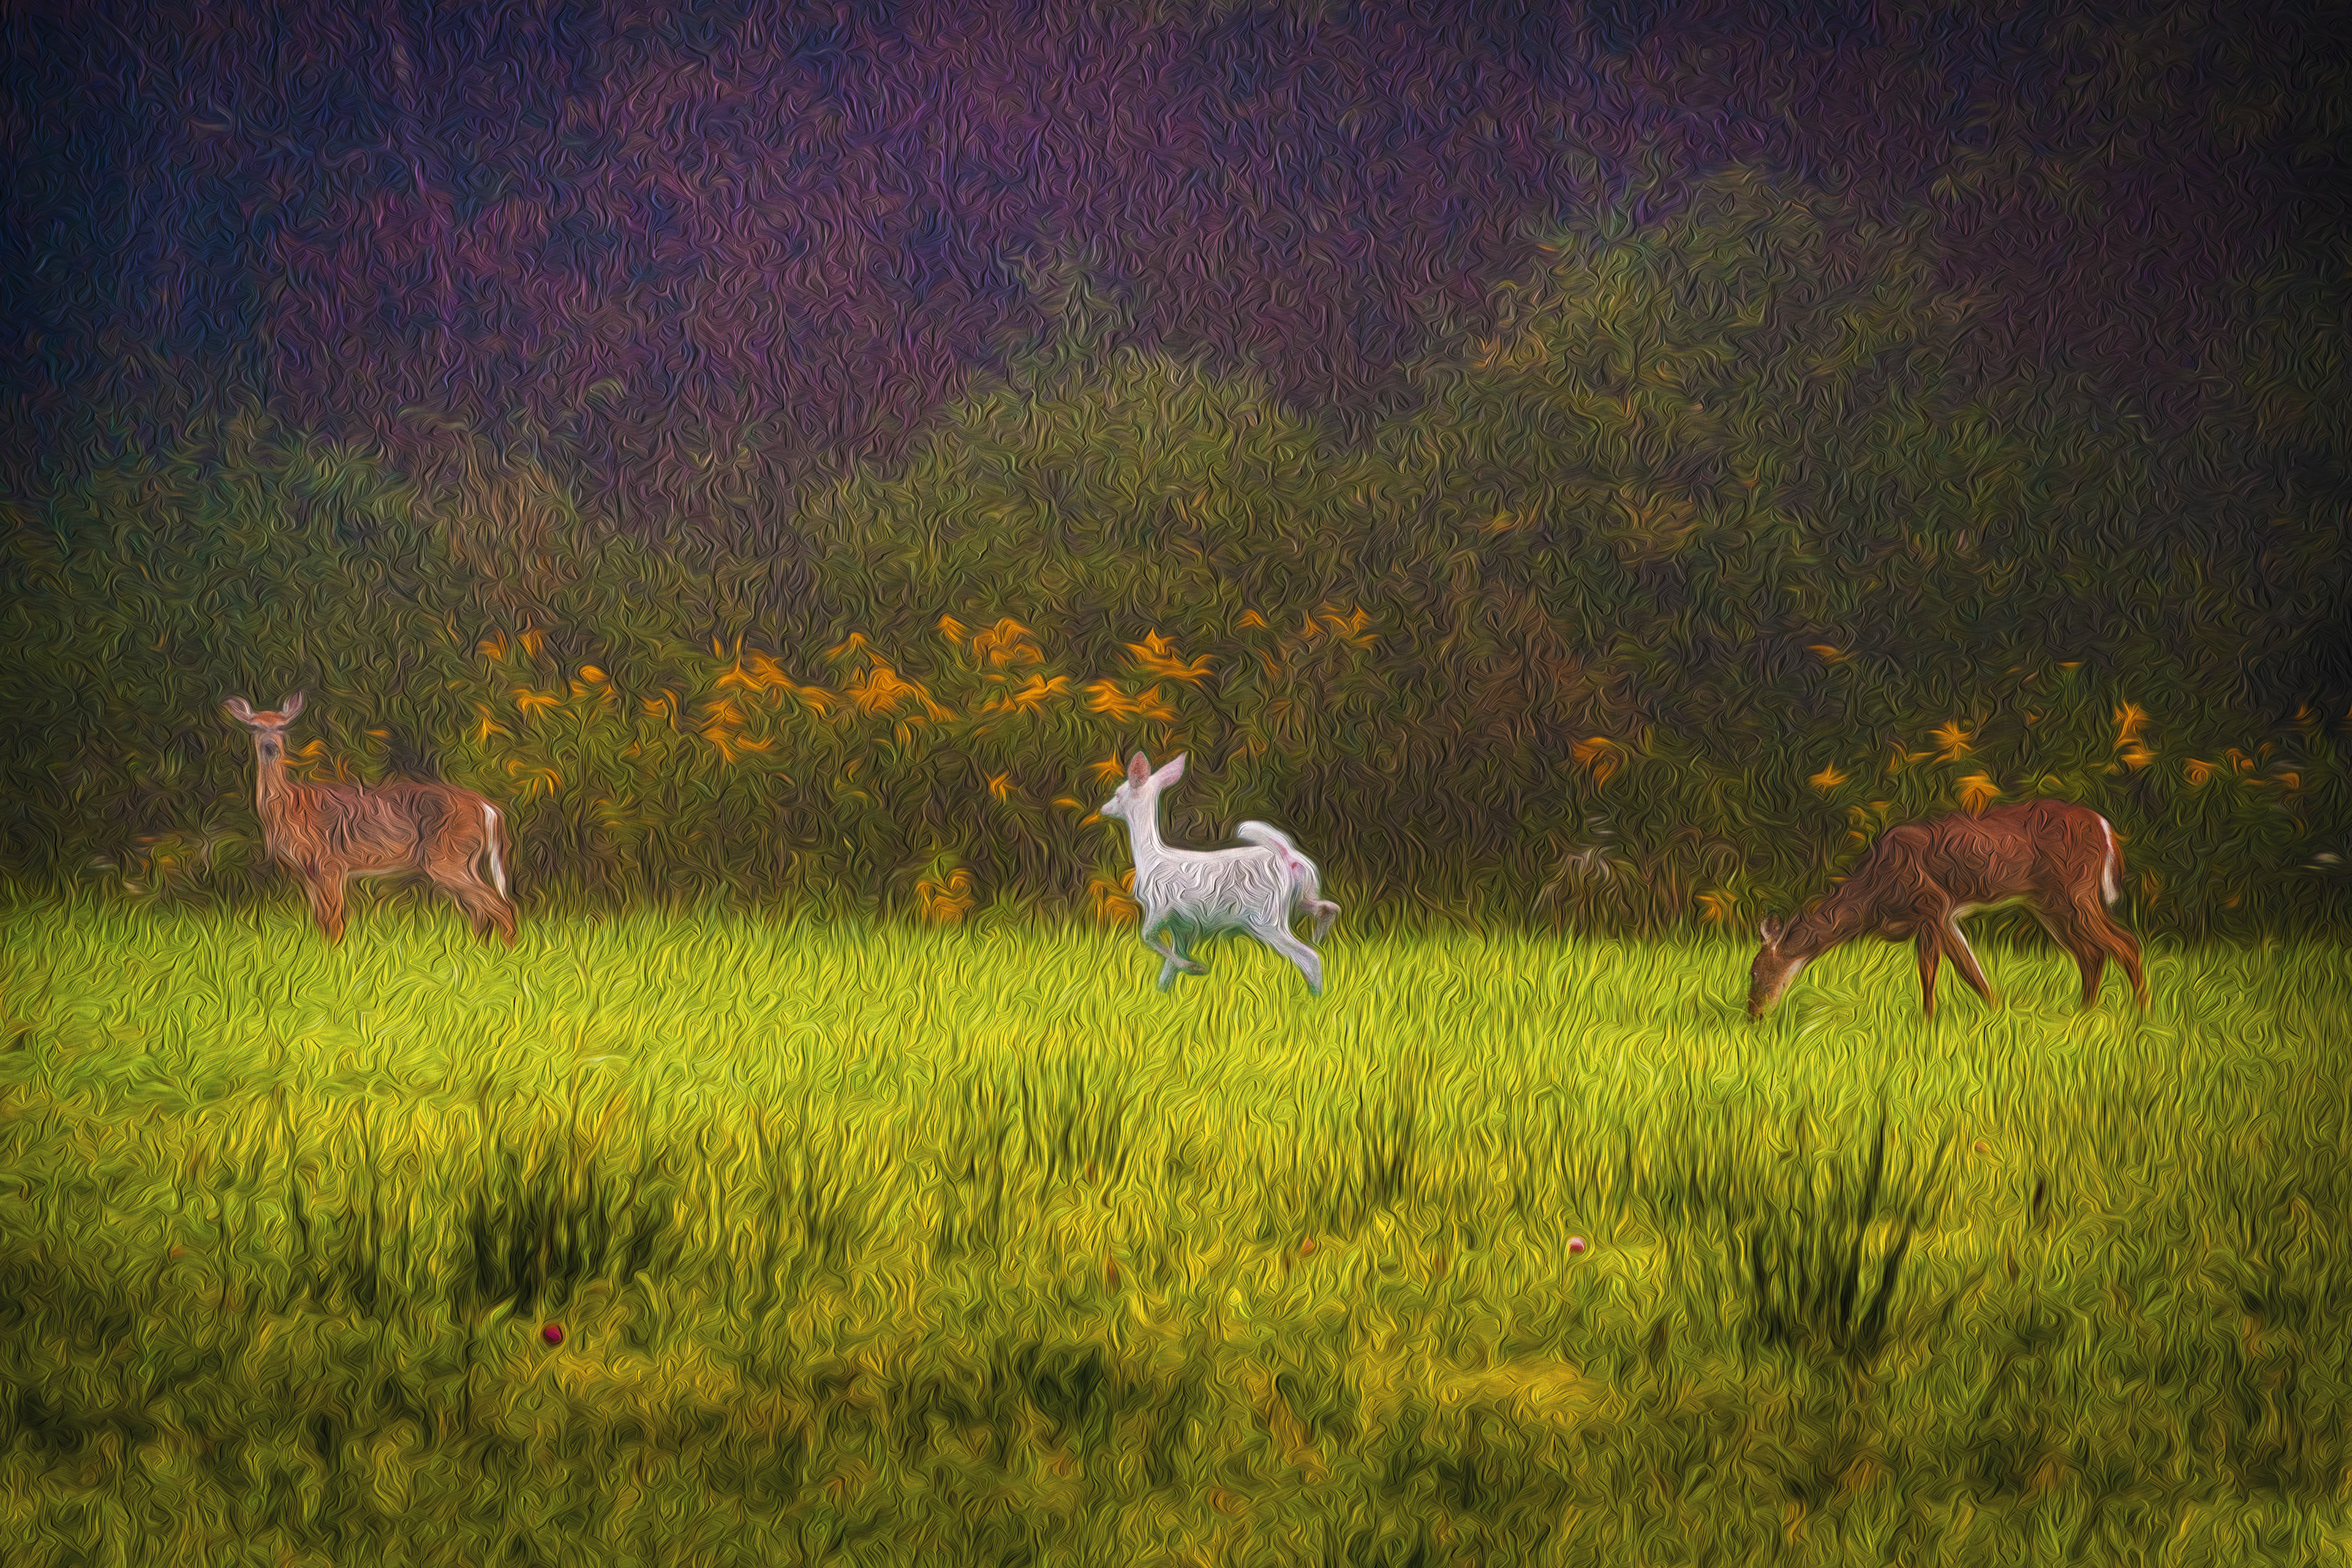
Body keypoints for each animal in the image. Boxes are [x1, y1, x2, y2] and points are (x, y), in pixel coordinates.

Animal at [224, 692, 517, 946]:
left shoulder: (330, 862)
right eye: (254, 727)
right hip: (464, 858)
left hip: (449, 856)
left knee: (500, 906)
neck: (289, 807)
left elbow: (334, 919)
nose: (270, 746)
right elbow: (321, 919)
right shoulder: (307, 871)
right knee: (481, 910)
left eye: (284, 728)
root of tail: (489, 808)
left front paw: (334, 958)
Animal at [1096, 752, 1340, 996]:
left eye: (1118, 794)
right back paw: (1320, 936)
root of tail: (1288, 857)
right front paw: (1165, 993)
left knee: (1310, 959)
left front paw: (1195, 967)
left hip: (1266, 917)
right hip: (1296, 900)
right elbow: (1167, 971)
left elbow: (1147, 937)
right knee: (1328, 908)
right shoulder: (1183, 924)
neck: (1150, 857)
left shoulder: (1161, 906)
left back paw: (1314, 999)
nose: (1103, 809)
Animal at [1747, 798, 2147, 1020]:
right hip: (2051, 904)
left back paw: (2140, 1015)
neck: (1872, 898)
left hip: (2075, 891)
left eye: (1751, 972)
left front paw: (1964, 1020)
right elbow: (1952, 969)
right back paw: (2082, 1014)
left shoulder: (1932, 905)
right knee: (2092, 953)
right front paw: (1982, 1017)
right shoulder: (1937, 917)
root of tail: (2105, 827)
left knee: (2126, 944)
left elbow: (1950, 970)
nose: (1753, 1015)